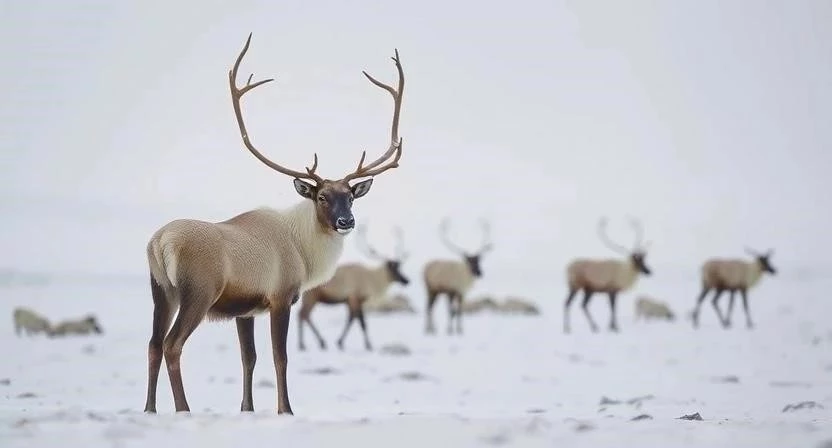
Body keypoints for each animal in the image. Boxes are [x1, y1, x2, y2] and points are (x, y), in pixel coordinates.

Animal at [142, 33, 406, 416]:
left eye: (351, 196)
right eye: (321, 196)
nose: (346, 221)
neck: (304, 250)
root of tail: (160, 243)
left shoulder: (245, 310)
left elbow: (248, 358)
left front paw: (247, 408)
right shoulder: (281, 298)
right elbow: (280, 357)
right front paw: (286, 409)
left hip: (161, 291)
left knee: (152, 343)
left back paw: (149, 408)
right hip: (197, 292)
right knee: (172, 344)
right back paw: (183, 409)